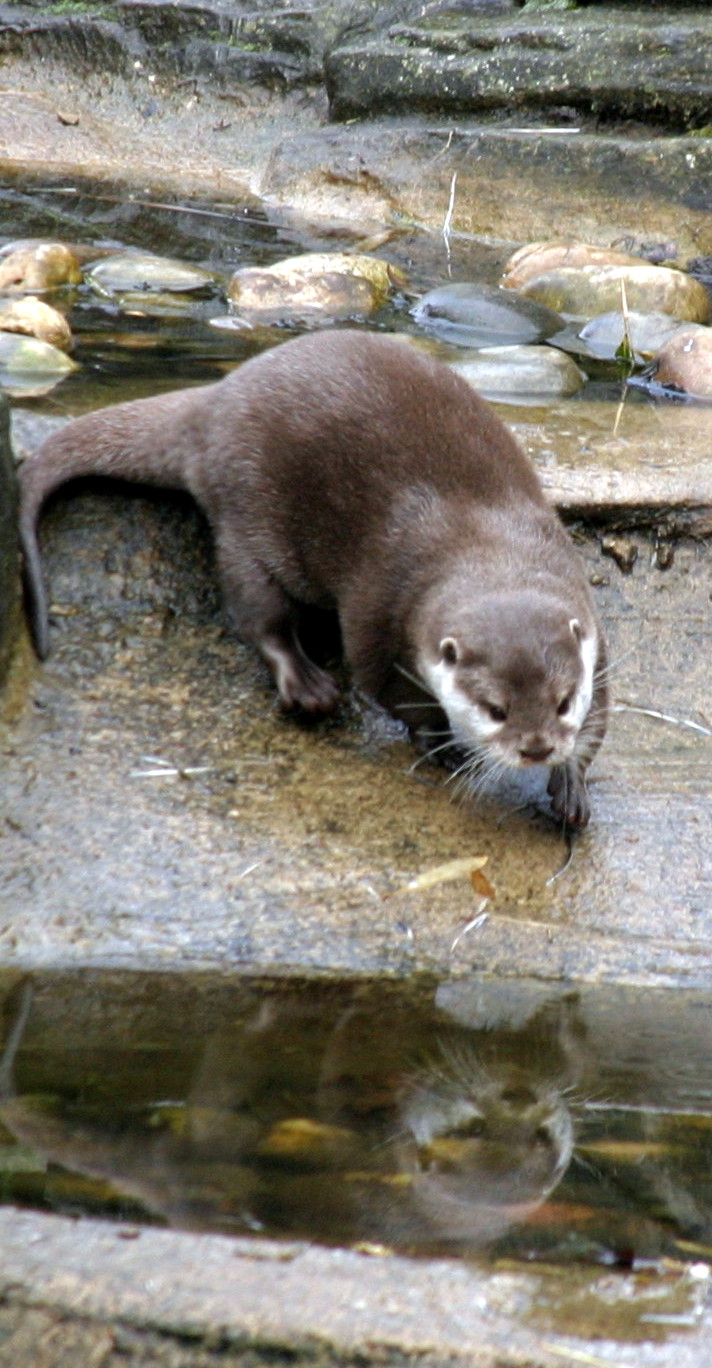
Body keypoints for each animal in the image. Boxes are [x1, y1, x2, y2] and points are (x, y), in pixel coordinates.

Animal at [18, 329, 607, 826]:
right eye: (495, 710)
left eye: (562, 702)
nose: (537, 747)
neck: (484, 545)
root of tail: (214, 401)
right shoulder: (379, 610)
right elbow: (394, 694)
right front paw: (442, 745)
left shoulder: (589, 630)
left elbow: (598, 720)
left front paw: (571, 783)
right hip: (246, 515)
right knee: (260, 615)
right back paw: (306, 684)